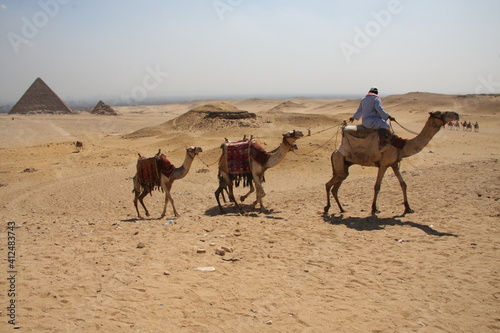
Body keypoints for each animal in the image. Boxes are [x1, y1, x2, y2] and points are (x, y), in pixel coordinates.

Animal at [324, 111, 460, 215]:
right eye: (440, 113)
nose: (456, 115)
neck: (401, 146)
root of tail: (334, 152)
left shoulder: (394, 164)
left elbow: (403, 184)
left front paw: (408, 208)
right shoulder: (384, 164)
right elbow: (377, 186)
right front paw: (374, 209)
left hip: (342, 168)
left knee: (335, 188)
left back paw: (342, 209)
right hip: (339, 162)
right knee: (328, 185)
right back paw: (327, 208)